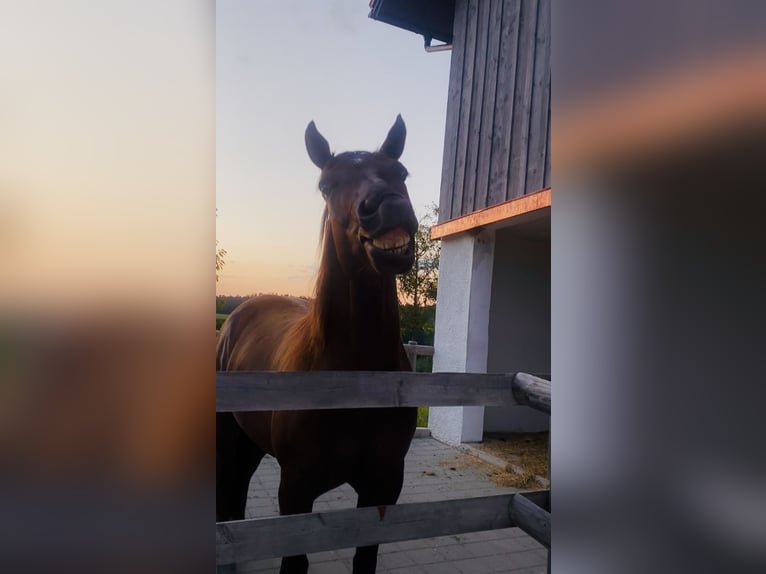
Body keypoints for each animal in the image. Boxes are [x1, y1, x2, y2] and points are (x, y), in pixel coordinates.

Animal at [216, 115, 419, 574]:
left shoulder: (384, 487)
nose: (387, 206)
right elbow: (295, 562)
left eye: (401, 173)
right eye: (327, 185)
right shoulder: (296, 490)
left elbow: (365, 559)